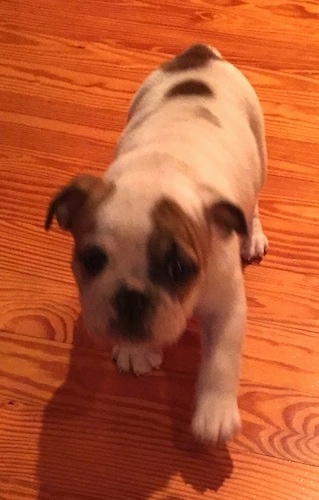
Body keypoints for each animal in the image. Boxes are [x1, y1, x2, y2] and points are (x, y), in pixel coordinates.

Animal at [46, 46, 268, 446]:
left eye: (180, 269)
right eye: (91, 260)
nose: (131, 297)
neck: (159, 172)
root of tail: (200, 53)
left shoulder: (226, 304)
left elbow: (222, 357)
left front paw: (215, 413)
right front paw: (136, 350)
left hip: (259, 150)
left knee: (252, 202)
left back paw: (253, 235)